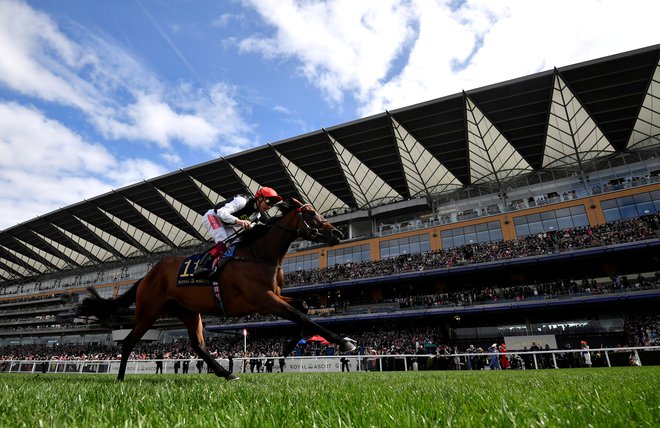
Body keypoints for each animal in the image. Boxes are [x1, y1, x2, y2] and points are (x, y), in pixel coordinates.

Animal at [77, 197, 356, 382]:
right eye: (310, 214)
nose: (337, 233)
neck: (259, 254)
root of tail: (148, 275)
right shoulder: (262, 299)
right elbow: (300, 314)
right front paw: (344, 341)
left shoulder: (273, 296)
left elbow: (303, 308)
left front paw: (287, 348)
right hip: (149, 312)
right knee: (128, 342)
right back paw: (120, 379)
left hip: (189, 311)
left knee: (198, 344)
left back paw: (226, 373)